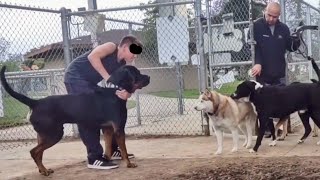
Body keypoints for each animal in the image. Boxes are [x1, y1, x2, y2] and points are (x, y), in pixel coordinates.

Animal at [0, 65, 150, 176]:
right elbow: (124, 149)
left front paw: (107, 160)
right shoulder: (119, 129)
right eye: (137, 73)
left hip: (43, 135)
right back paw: (44, 171)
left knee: (39, 153)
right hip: (54, 134)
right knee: (34, 152)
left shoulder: (107, 129)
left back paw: (43, 170)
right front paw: (129, 164)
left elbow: (108, 148)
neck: (116, 90)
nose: (148, 77)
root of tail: (35, 102)